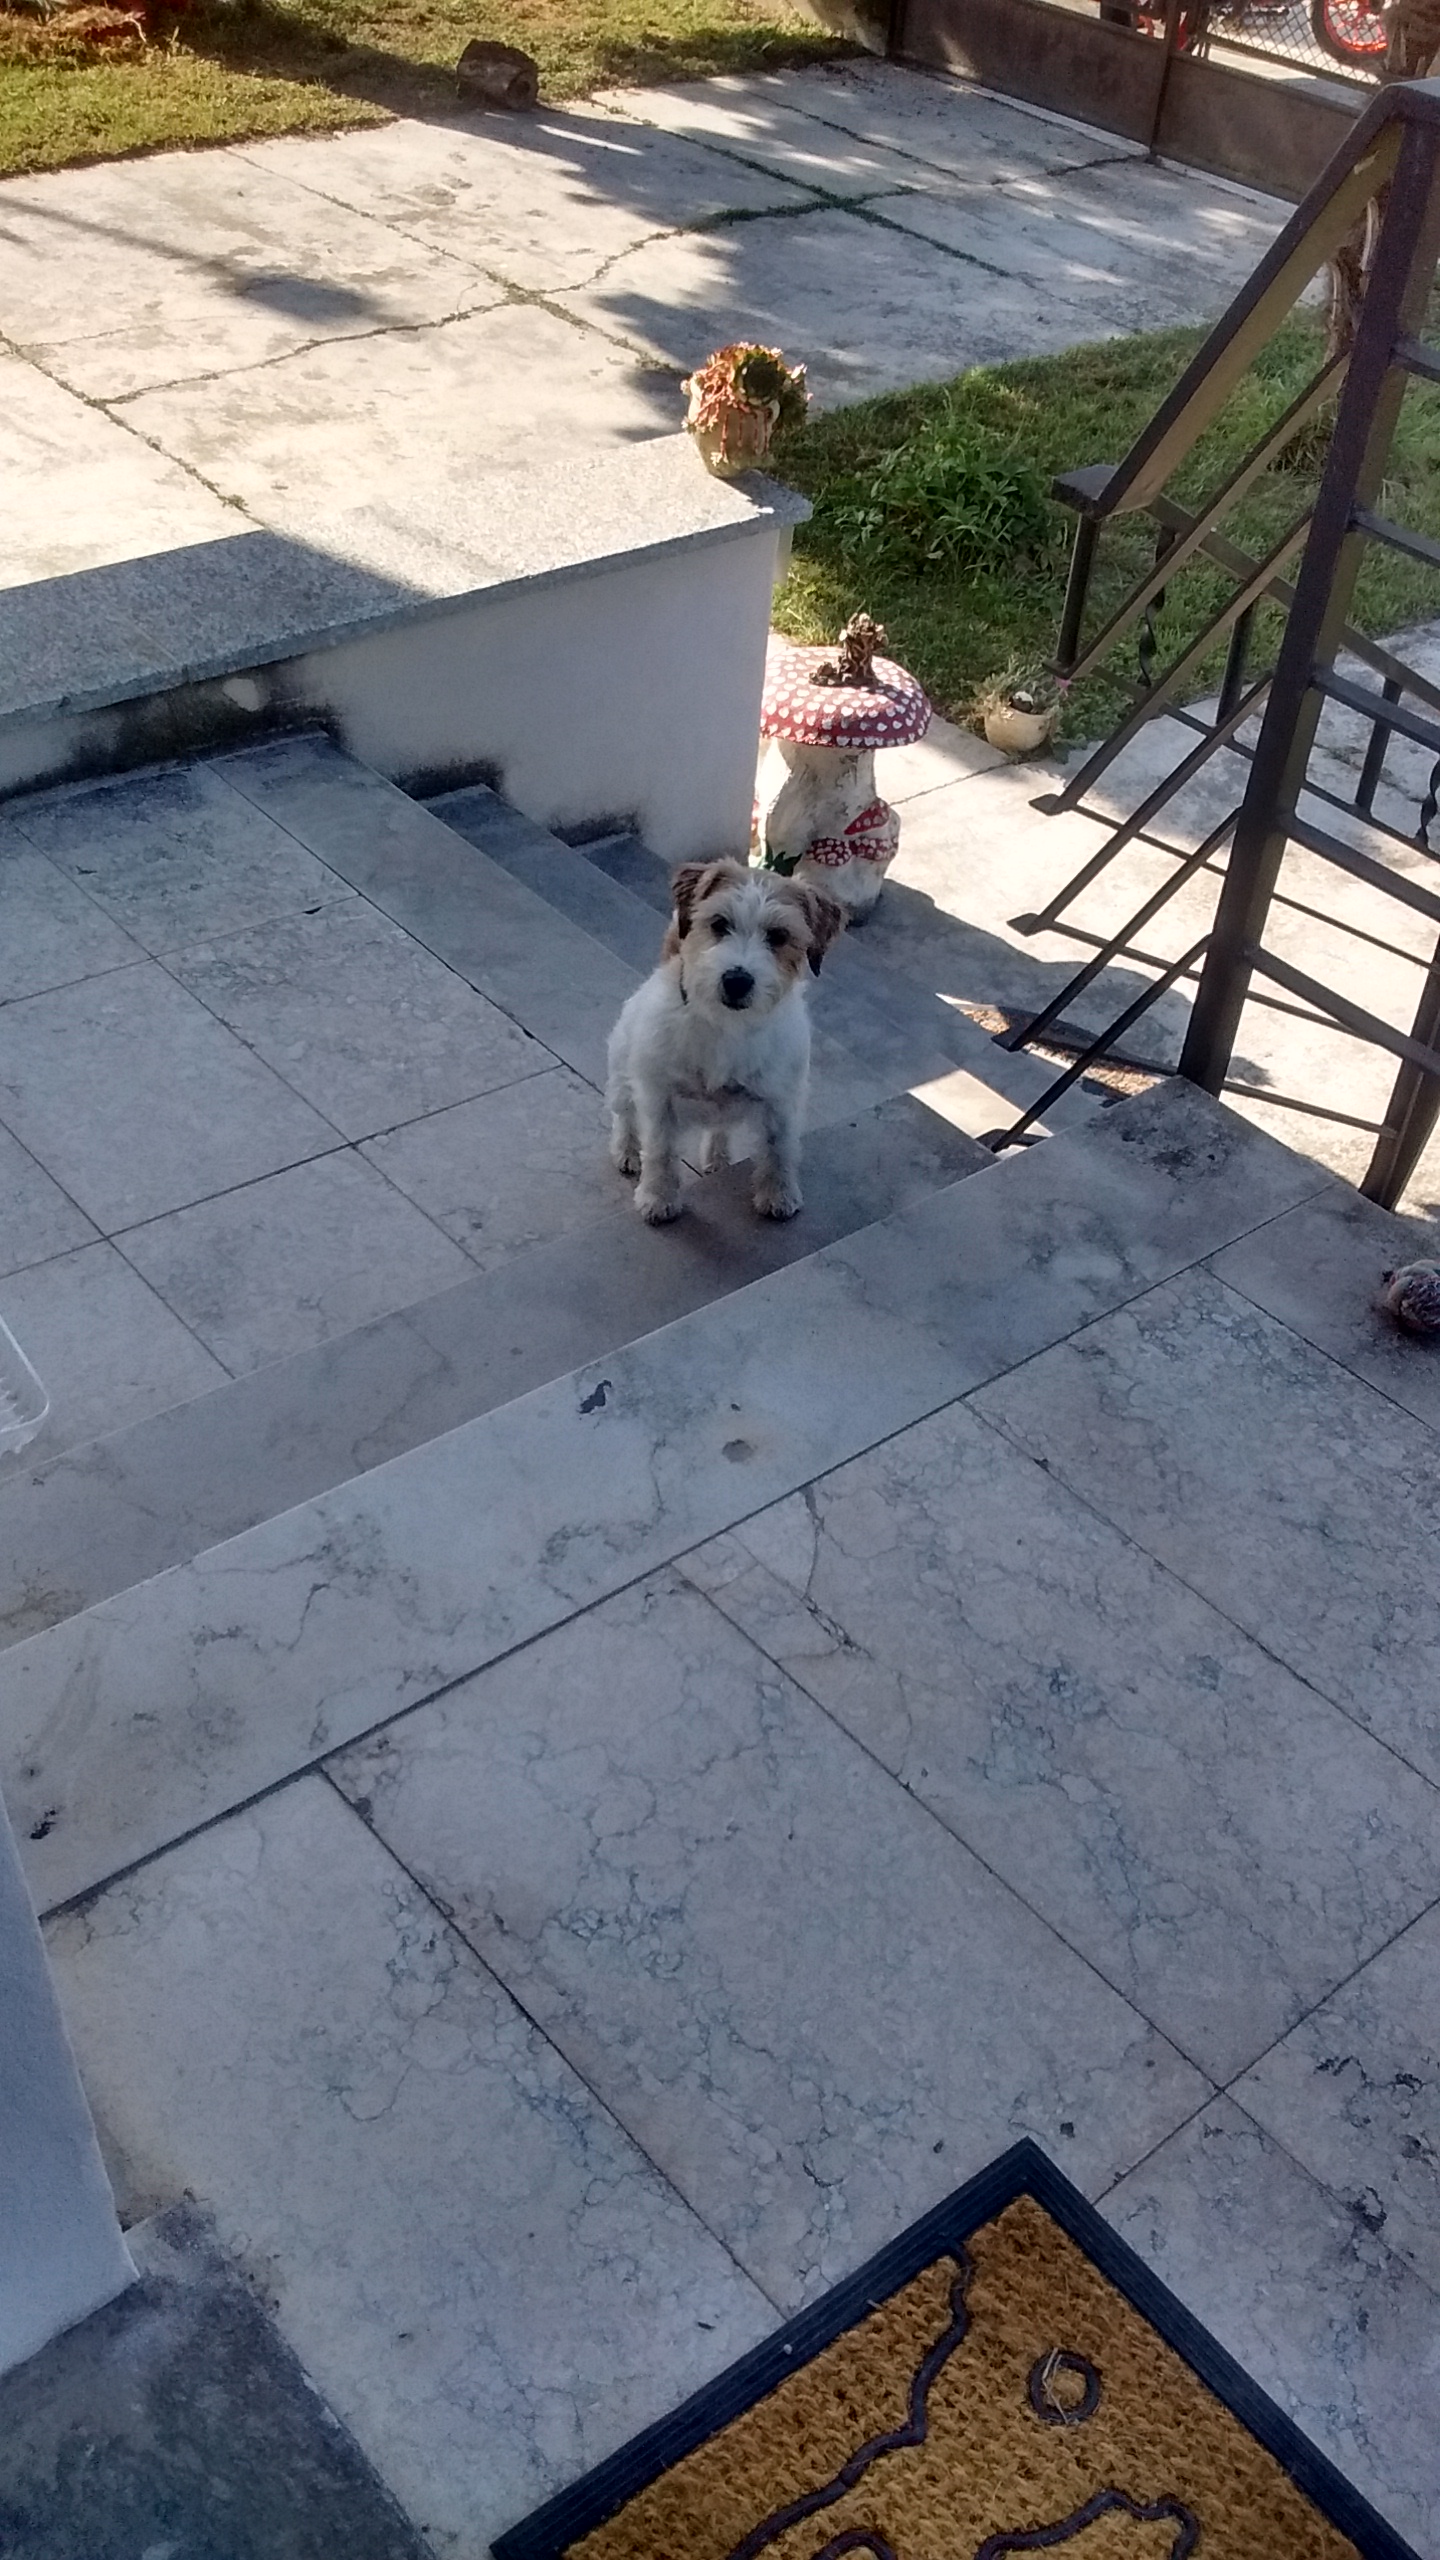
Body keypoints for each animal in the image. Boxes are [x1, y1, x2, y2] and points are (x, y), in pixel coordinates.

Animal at [607, 859, 845, 1225]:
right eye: (719, 923)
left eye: (779, 936)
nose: (736, 980)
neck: (726, 1026)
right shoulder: (659, 1096)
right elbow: (660, 1150)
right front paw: (658, 1196)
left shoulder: (782, 1100)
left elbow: (780, 1149)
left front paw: (778, 1194)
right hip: (623, 1075)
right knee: (625, 1117)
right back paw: (628, 1151)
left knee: (718, 1130)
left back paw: (717, 1160)